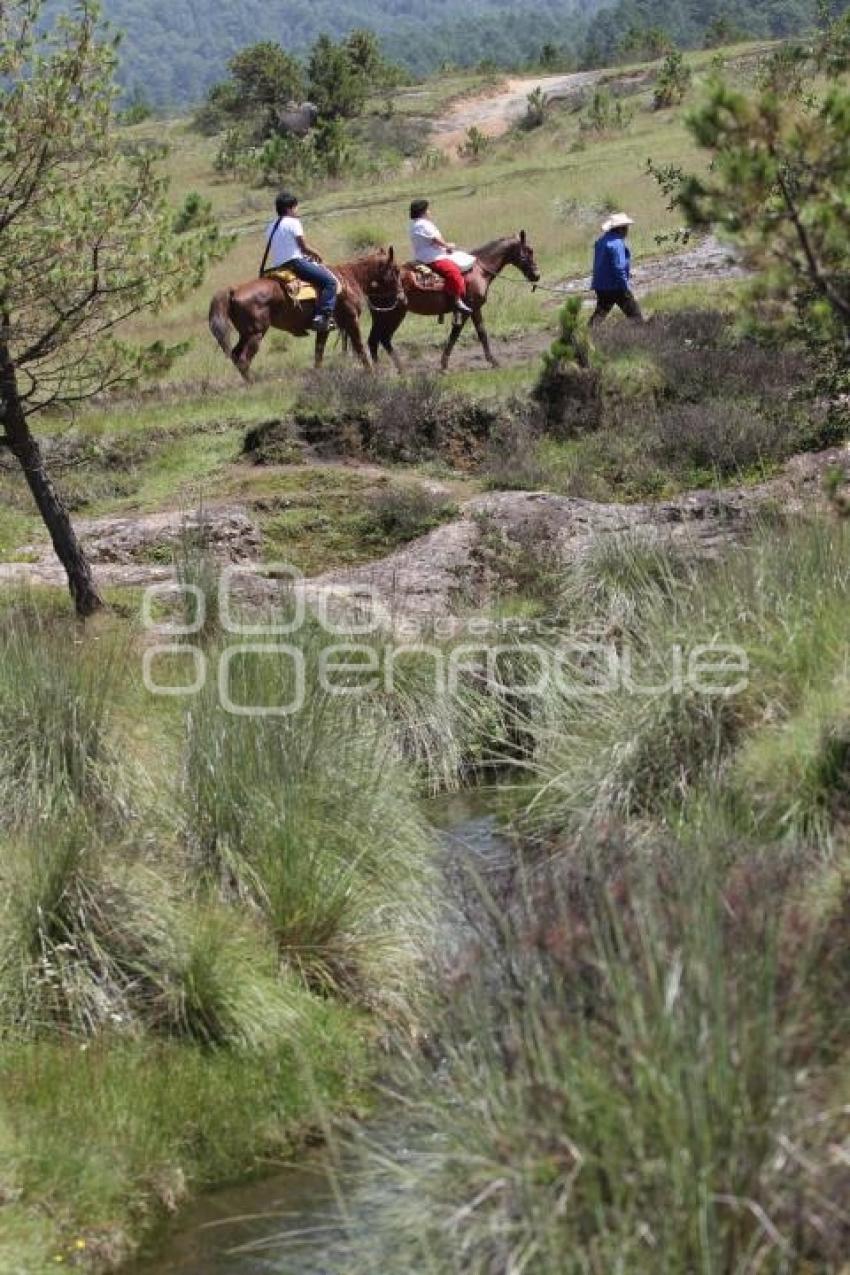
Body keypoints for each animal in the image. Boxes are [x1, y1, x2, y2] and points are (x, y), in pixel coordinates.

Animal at [208, 248, 402, 377]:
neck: (350, 278)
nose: (401, 296)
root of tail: (233, 290)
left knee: (235, 355)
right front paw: (371, 371)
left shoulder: (325, 328)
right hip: (256, 334)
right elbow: (360, 347)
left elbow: (319, 353)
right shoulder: (351, 321)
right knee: (243, 360)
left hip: (245, 334)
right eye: (396, 270)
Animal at [367, 232, 537, 372]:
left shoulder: (472, 310)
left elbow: (478, 332)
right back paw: (397, 370)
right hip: (393, 314)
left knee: (375, 340)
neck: (479, 270)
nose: (537, 275)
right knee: (382, 338)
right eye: (529, 251)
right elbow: (465, 334)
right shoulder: (470, 308)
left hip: (381, 315)